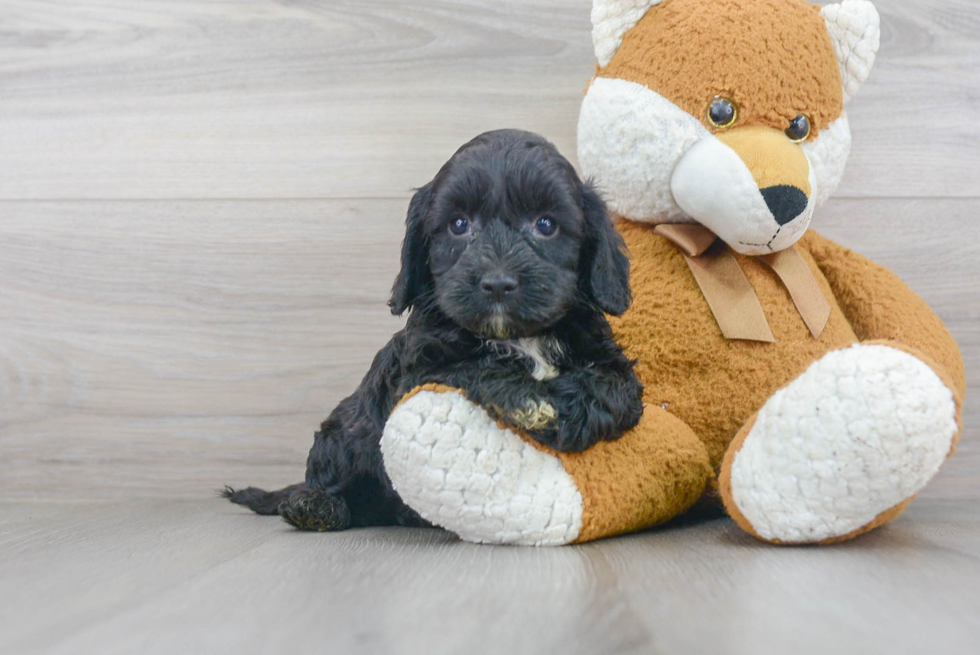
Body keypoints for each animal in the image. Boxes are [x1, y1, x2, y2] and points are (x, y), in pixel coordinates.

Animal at [226, 129, 648, 532]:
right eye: (459, 225)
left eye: (546, 224)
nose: (498, 283)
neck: (516, 336)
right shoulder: (419, 369)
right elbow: (470, 365)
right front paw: (529, 400)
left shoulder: (610, 361)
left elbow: (614, 390)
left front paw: (566, 413)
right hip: (343, 434)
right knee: (330, 478)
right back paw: (315, 507)